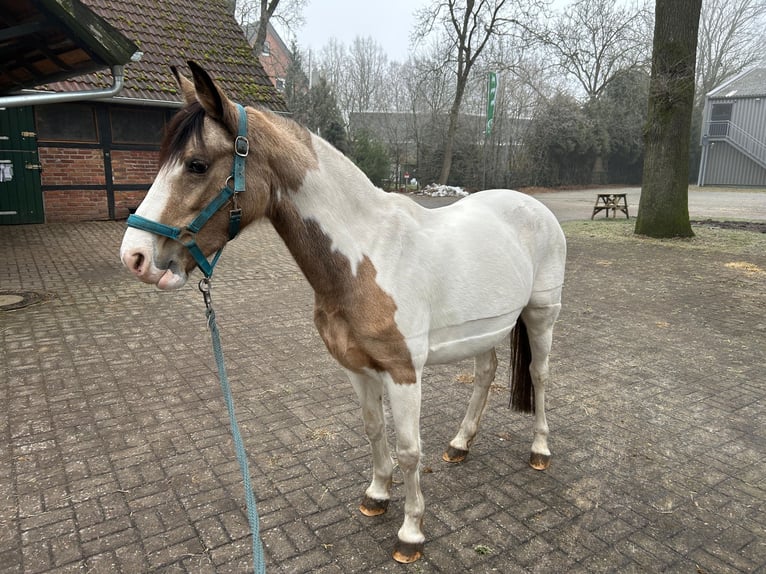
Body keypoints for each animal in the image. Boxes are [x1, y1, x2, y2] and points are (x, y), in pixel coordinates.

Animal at [118, 63, 564, 568]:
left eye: (196, 164)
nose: (135, 256)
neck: (365, 256)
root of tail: (534, 207)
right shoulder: (357, 367)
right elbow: (373, 431)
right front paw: (376, 495)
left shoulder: (403, 373)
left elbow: (409, 451)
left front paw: (411, 533)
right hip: (486, 329)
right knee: (487, 373)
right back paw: (460, 444)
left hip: (542, 314)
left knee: (540, 374)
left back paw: (540, 449)